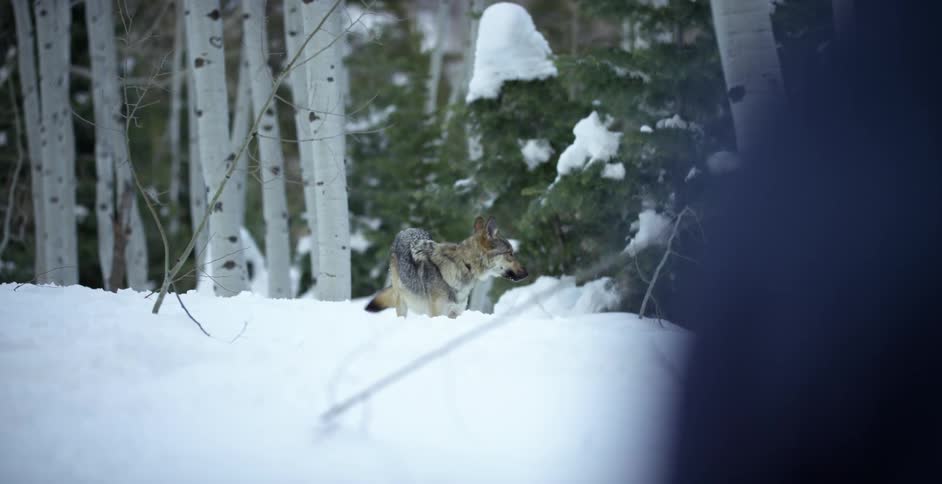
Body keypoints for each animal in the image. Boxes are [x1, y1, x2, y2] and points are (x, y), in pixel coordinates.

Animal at [365, 216, 528, 318]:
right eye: (510, 253)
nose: (527, 273)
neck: (464, 265)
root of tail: (405, 230)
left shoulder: (455, 313)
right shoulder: (438, 315)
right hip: (402, 303)